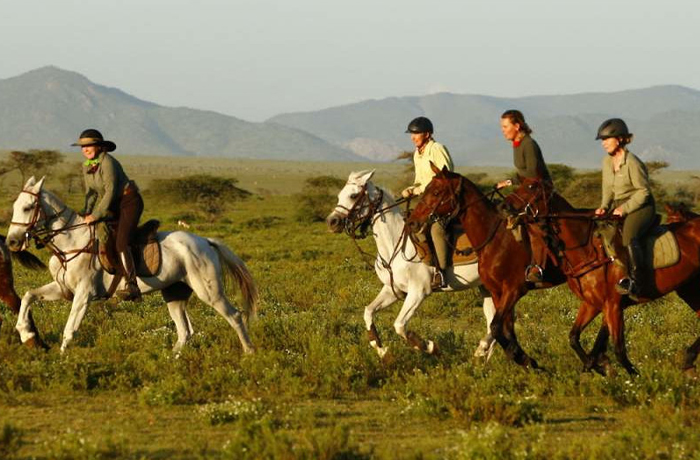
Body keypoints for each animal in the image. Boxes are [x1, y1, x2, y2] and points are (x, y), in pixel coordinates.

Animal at [5, 176, 257, 354]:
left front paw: (61, 360)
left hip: (210, 292)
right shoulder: (63, 289)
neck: (71, 242)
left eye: (28, 207)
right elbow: (29, 295)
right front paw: (25, 333)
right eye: (15, 205)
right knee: (185, 332)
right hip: (174, 294)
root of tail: (205, 241)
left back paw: (249, 353)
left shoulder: (84, 294)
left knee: (235, 316)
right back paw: (170, 362)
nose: (12, 242)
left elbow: (70, 329)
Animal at [326, 170, 496, 358]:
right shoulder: (393, 289)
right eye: (339, 195)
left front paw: (429, 347)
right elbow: (368, 312)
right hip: (486, 287)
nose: (332, 222)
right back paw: (483, 353)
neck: (395, 244)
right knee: (493, 319)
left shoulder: (419, 292)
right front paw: (382, 351)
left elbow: (399, 325)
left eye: (354, 195)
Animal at [504, 177, 700, 375]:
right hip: (689, 290)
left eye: (531, 187)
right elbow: (575, 337)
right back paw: (688, 361)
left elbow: (617, 349)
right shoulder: (592, 304)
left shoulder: (613, 306)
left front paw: (633, 376)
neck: (586, 251)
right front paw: (596, 368)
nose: (505, 205)